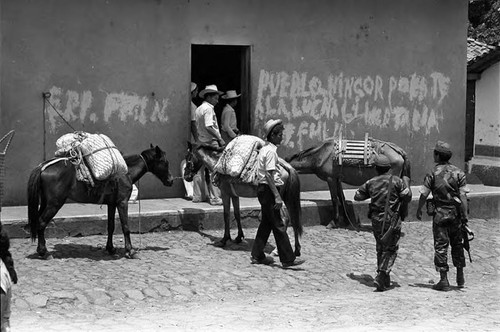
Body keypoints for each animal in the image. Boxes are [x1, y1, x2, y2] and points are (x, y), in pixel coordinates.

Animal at [26, 145, 174, 260]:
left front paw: (111, 249)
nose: (171, 180)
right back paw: (44, 252)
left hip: (46, 203)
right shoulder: (122, 202)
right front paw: (130, 251)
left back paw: (41, 251)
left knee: (38, 221)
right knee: (41, 222)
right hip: (54, 204)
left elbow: (111, 226)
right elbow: (125, 227)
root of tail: (42, 167)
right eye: (165, 162)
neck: (126, 172)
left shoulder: (112, 204)